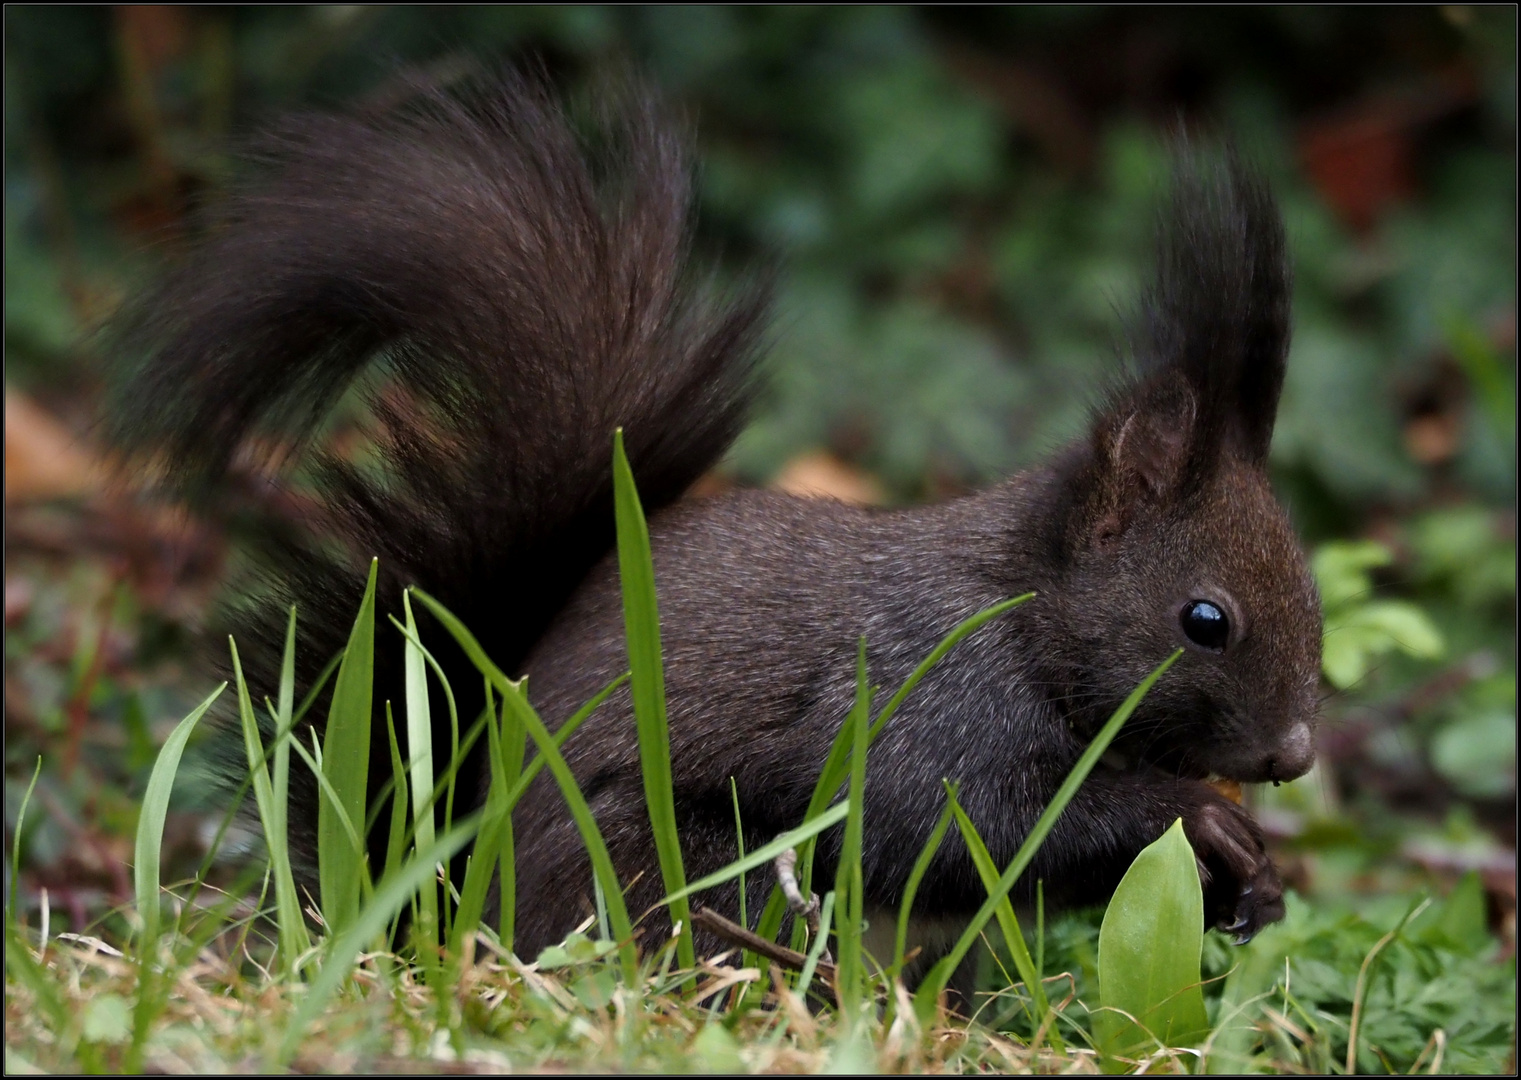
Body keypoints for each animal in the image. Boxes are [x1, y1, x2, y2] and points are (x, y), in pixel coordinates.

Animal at [107, 76, 1320, 967]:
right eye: (1204, 620)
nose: (1295, 754)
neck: (1024, 608)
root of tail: (449, 908)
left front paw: (1254, 884)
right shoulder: (931, 695)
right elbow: (955, 820)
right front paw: (1193, 818)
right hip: (671, 873)